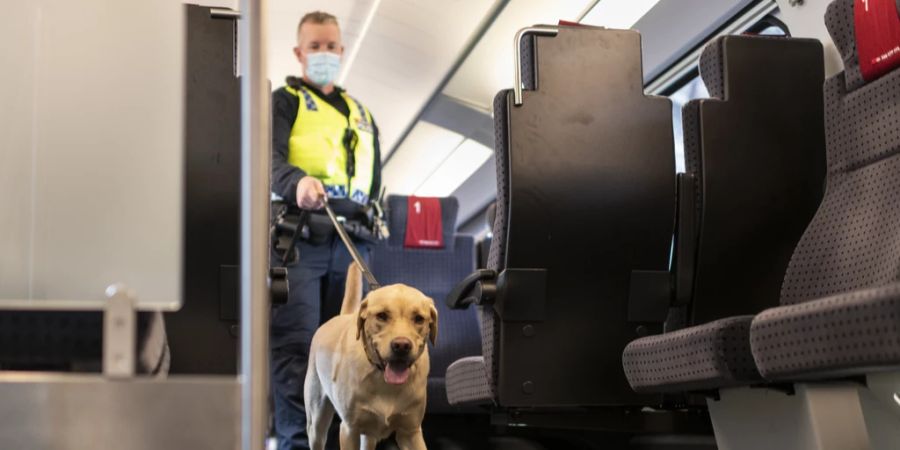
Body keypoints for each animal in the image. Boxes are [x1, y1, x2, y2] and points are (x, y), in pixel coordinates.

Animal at [304, 262, 438, 448]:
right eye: (382, 315)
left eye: (418, 318)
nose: (401, 346)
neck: (382, 379)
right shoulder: (349, 430)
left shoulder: (411, 432)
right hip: (316, 422)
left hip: (369, 435)